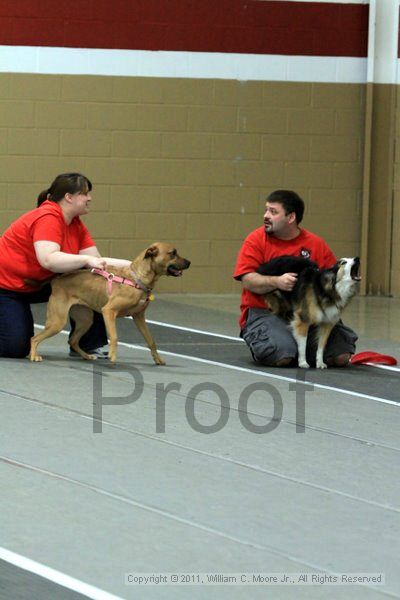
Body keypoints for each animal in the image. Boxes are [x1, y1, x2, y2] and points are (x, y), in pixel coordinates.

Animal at [29, 244, 191, 366]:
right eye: (173, 253)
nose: (189, 262)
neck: (137, 279)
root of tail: (57, 281)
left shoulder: (139, 317)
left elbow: (151, 340)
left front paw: (157, 359)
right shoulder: (108, 311)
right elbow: (114, 336)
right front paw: (112, 355)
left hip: (85, 320)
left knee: (73, 340)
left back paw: (87, 356)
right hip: (58, 322)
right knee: (34, 338)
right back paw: (34, 355)